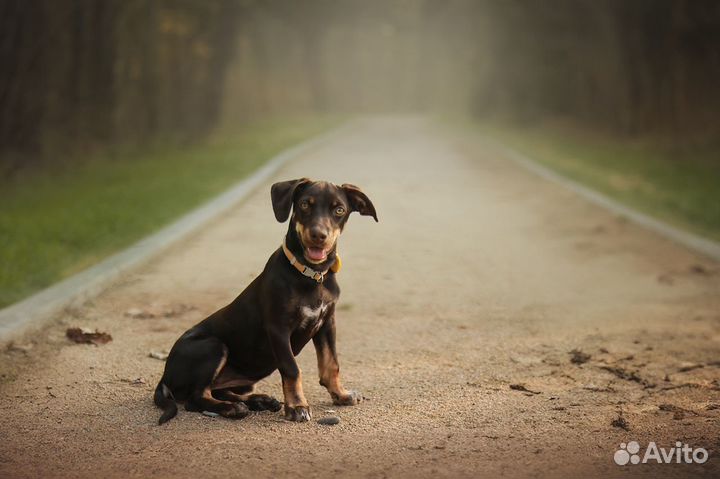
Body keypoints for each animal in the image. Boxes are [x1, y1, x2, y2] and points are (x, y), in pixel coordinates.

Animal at [155, 179, 380, 424]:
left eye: (339, 210)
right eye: (304, 204)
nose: (318, 235)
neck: (311, 275)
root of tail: (165, 375)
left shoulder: (327, 322)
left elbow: (331, 364)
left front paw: (341, 395)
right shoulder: (278, 328)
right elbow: (292, 369)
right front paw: (297, 406)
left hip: (240, 380)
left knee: (219, 390)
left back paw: (258, 401)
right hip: (213, 346)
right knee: (196, 397)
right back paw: (232, 409)